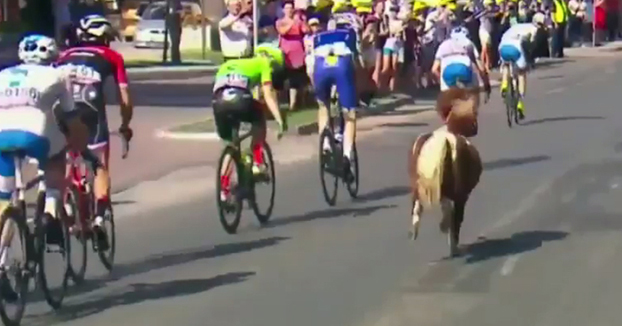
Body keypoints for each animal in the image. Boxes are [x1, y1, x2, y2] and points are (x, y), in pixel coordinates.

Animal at [412, 88, 486, 256]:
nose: (475, 126)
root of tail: (442, 141)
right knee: (450, 214)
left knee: (419, 206)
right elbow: (457, 218)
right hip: (453, 191)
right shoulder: (462, 196)